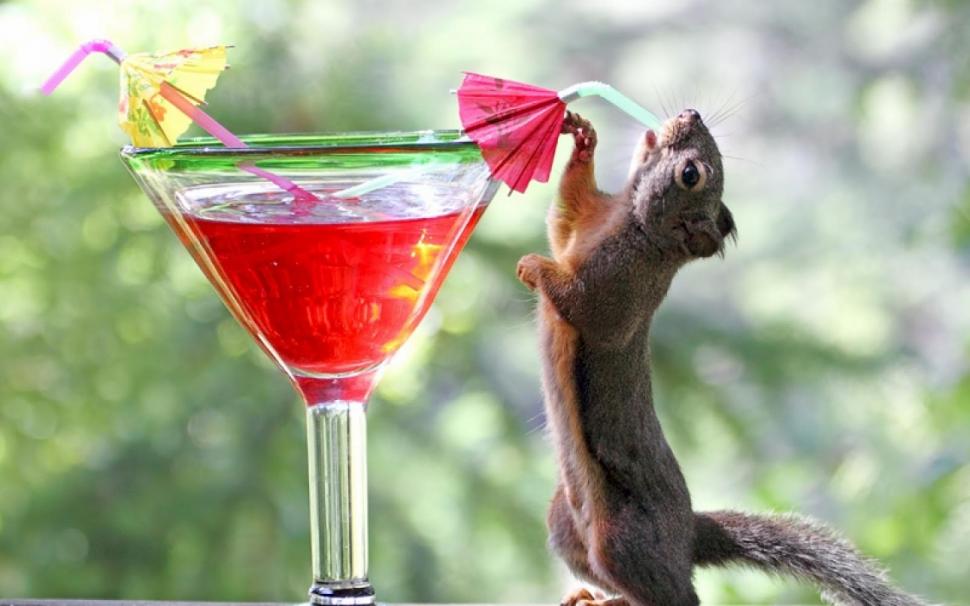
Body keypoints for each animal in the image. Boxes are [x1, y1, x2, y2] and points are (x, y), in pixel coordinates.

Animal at [516, 110, 928, 606]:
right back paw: (597, 597)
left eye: (690, 175)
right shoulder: (581, 228)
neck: (632, 224)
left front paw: (534, 267)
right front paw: (582, 139)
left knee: (679, 596)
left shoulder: (617, 289)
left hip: (622, 541)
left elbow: (579, 301)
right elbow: (562, 219)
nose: (690, 114)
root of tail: (688, 537)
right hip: (565, 521)